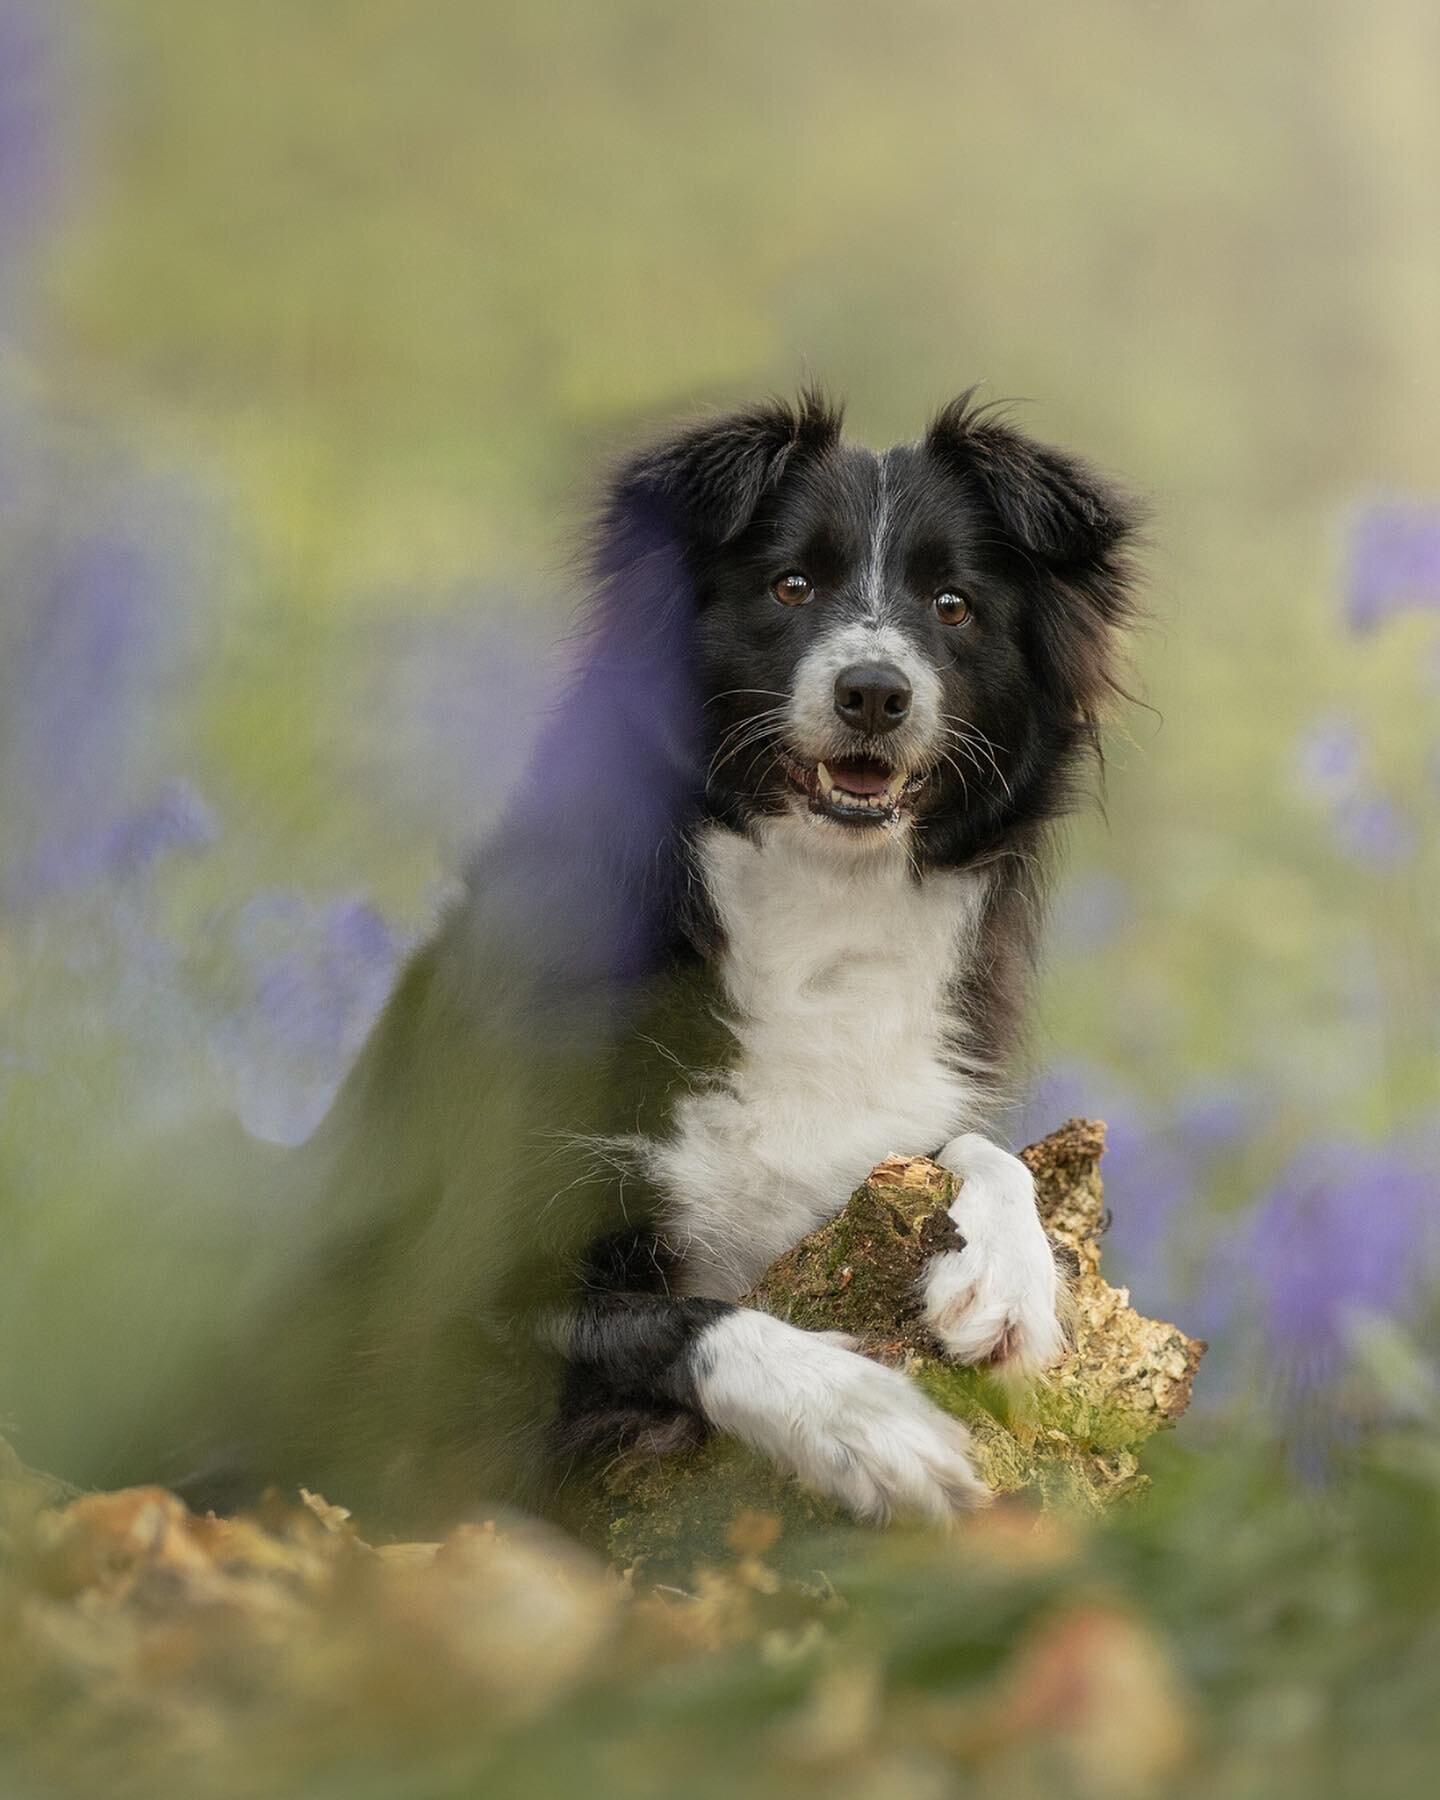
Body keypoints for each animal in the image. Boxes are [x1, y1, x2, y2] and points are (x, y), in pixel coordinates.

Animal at [190, 387, 1144, 1526]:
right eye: (790, 585)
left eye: (953, 606)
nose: (874, 692)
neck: (816, 906)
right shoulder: (435, 1323)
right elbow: (677, 1318)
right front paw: (860, 1420)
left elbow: (979, 1147)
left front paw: (1006, 1276)